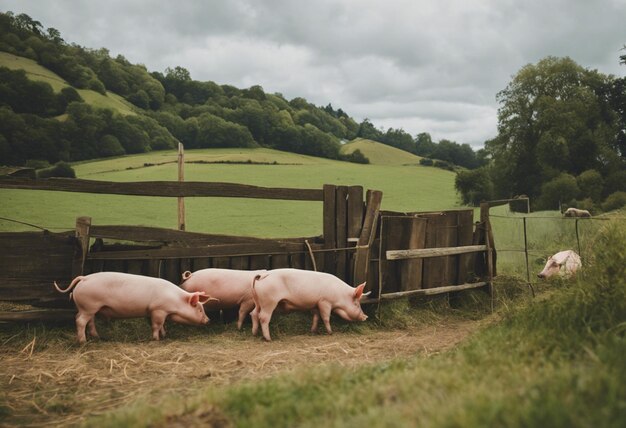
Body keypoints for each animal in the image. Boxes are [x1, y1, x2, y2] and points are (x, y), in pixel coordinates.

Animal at [56, 270, 217, 344]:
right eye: (199, 309)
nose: (209, 320)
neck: (175, 300)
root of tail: (84, 278)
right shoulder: (158, 310)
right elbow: (156, 325)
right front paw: (156, 339)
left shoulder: (158, 312)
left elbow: (162, 325)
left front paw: (165, 335)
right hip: (89, 306)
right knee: (80, 321)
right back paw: (83, 341)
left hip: (88, 308)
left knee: (87, 320)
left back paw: (97, 337)